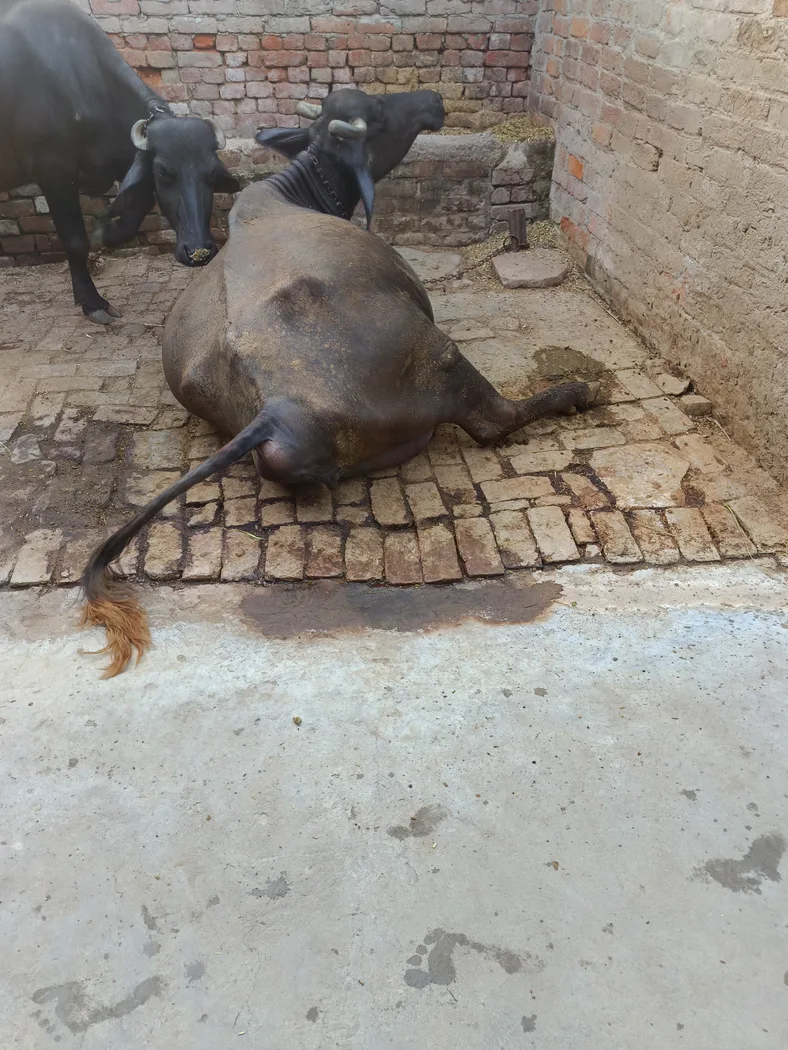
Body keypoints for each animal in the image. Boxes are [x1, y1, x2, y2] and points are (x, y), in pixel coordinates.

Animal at [0, 0, 240, 322]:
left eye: (212, 174)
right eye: (163, 172)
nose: (198, 250)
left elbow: (133, 212)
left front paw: (107, 232)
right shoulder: (54, 172)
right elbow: (75, 240)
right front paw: (93, 302)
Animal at [81, 88, 598, 675]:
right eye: (378, 112)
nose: (433, 99)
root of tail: (281, 406)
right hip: (438, 355)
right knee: (494, 419)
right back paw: (576, 392)